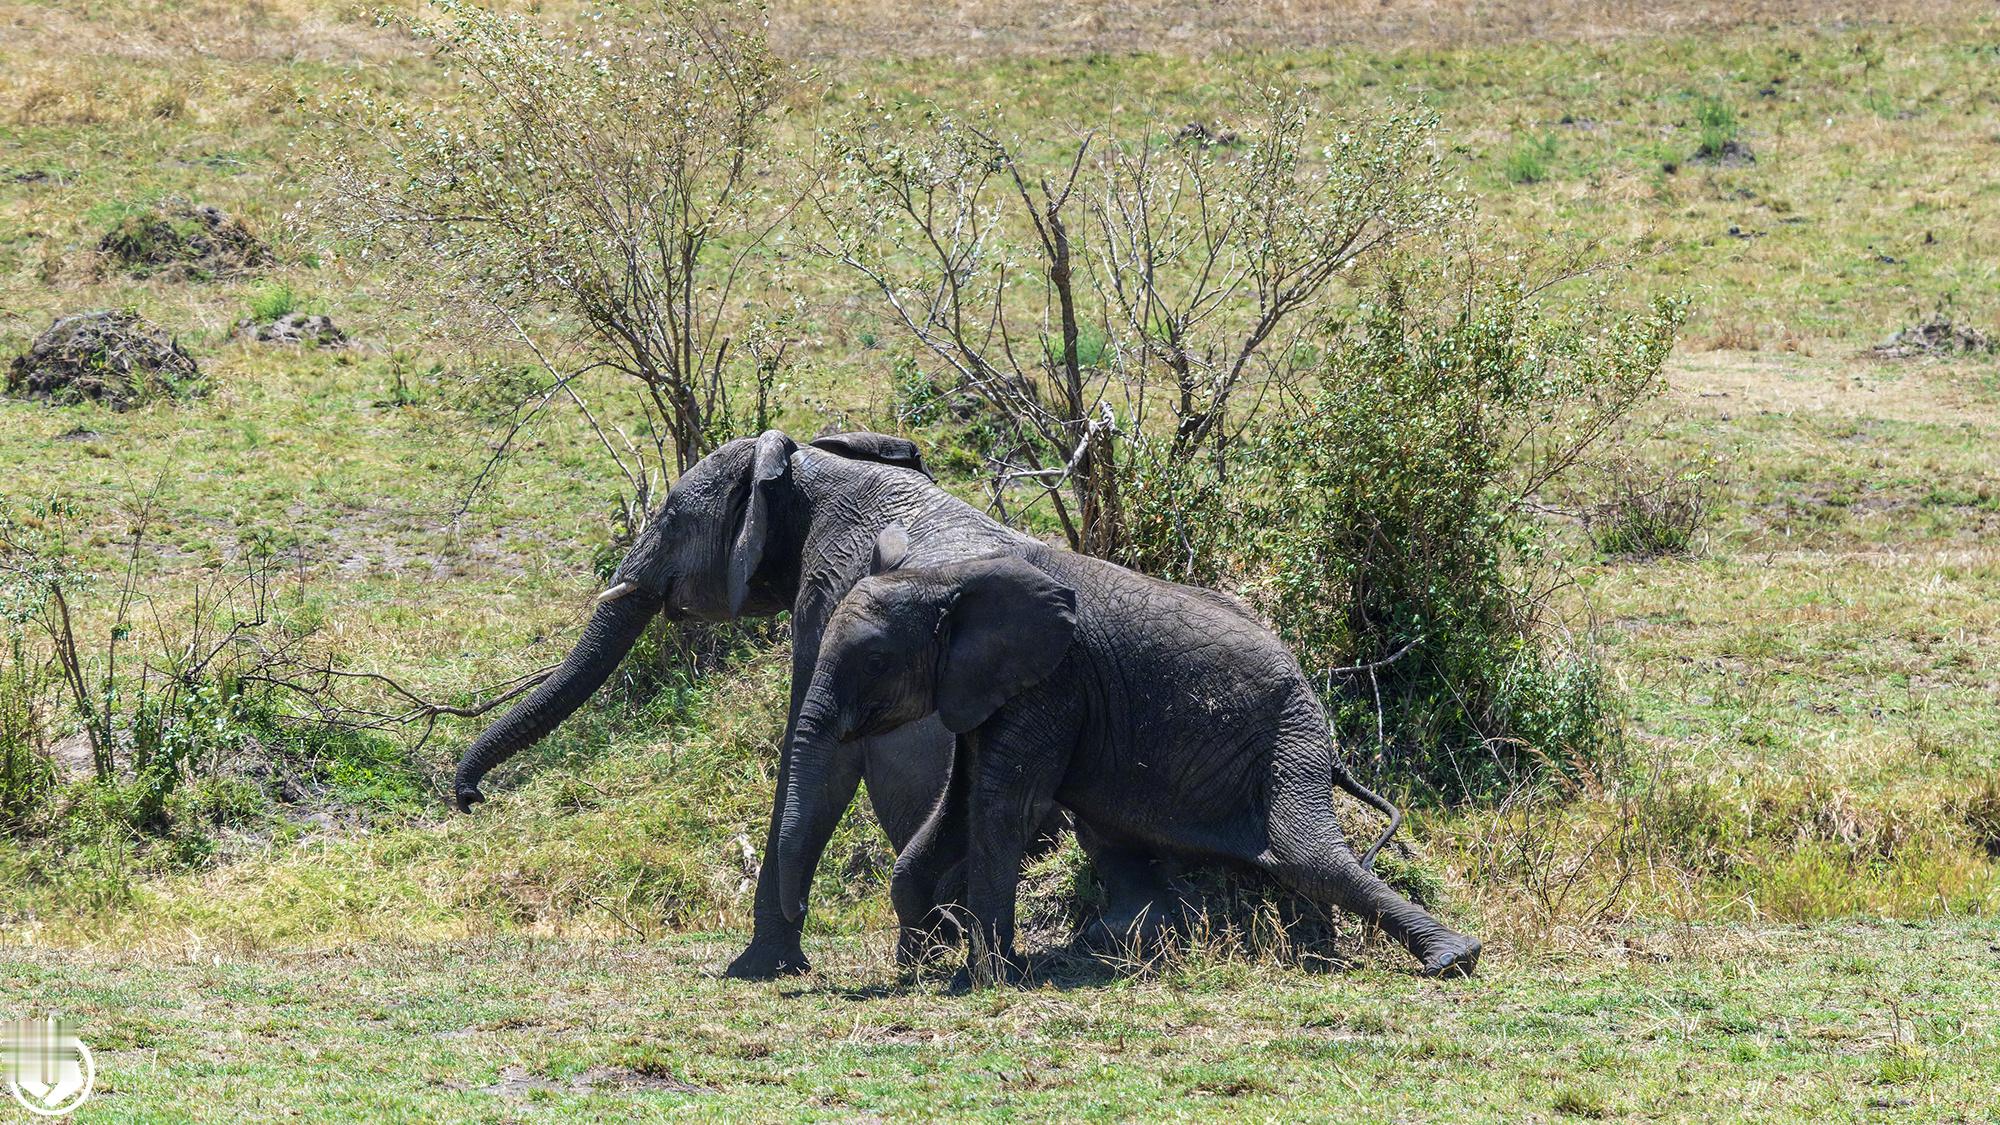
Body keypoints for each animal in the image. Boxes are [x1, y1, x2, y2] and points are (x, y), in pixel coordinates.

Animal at [448, 429, 1167, 978]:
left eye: (672, 518)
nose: (470, 798)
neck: (808, 466)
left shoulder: (824, 600)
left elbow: (813, 756)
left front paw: (758, 967)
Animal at [773, 526, 1484, 982]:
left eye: (875, 661)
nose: (798, 945)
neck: (947, 578)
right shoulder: (988, 690)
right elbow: (958, 805)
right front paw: (917, 962)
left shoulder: (1054, 682)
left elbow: (1003, 809)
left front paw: (980, 977)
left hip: (1290, 736)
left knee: (1308, 856)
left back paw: (1453, 958)